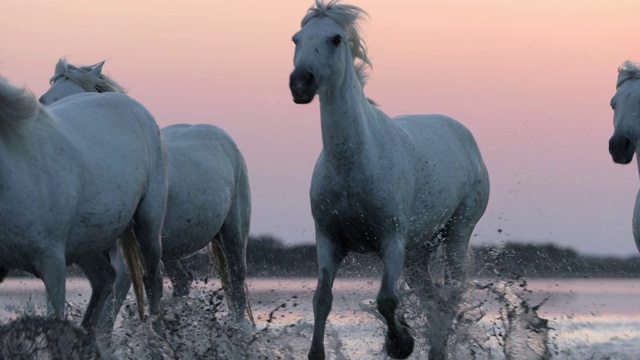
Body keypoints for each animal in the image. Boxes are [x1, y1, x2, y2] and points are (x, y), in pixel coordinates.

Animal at [39, 56, 255, 330]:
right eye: (44, 100)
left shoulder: (122, 262)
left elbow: (105, 321)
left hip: (233, 235)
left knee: (236, 287)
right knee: (182, 281)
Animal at [290, 1, 490, 358]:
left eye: (335, 39)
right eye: (296, 39)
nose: (300, 82)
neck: (355, 166)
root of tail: (468, 140)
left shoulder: (391, 239)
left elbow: (386, 300)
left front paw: (400, 343)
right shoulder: (328, 240)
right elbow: (322, 299)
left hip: (457, 231)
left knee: (451, 295)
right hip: (419, 250)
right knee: (433, 301)